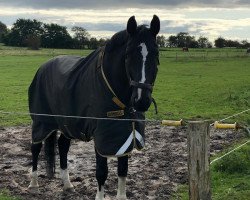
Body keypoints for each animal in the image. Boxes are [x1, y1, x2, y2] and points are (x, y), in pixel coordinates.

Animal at [27, 14, 160, 199]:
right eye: (128, 54)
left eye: (156, 53)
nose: (141, 101)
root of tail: (43, 67)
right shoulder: (101, 135)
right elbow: (101, 172)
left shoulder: (124, 134)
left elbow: (123, 170)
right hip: (41, 121)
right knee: (35, 147)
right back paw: (33, 185)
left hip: (68, 124)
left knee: (62, 146)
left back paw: (67, 185)